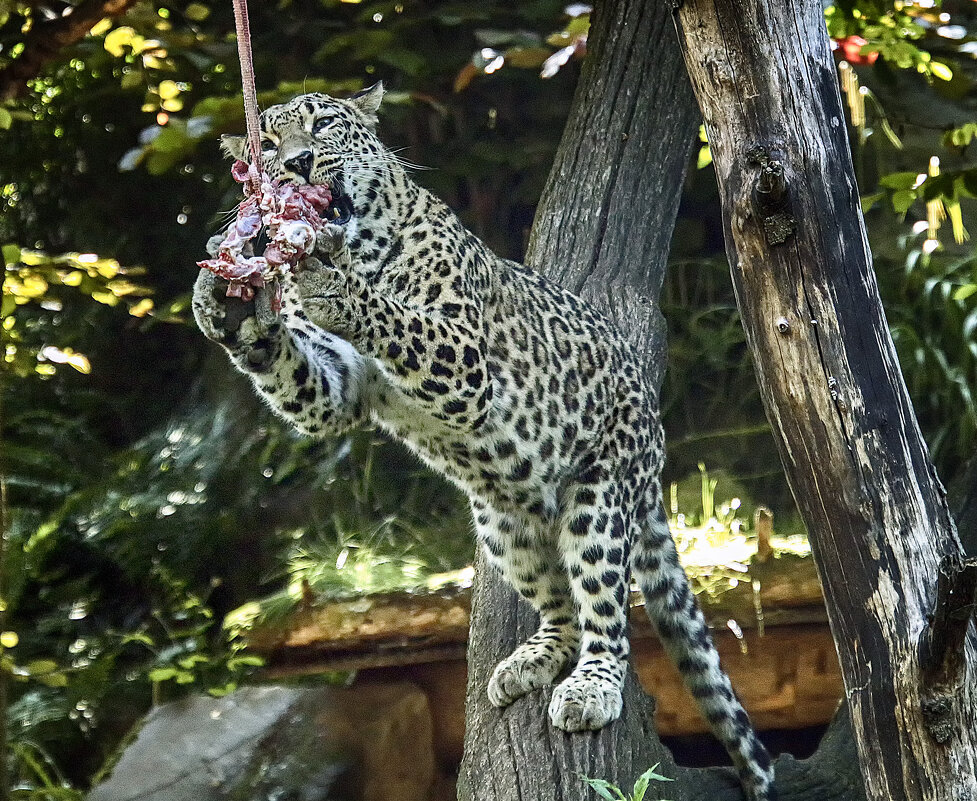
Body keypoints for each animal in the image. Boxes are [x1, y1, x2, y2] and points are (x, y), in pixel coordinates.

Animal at [191, 86, 776, 800]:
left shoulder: (464, 363)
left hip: (599, 496)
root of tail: (652, 436)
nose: (297, 163)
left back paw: (593, 686)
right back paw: (533, 660)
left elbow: (394, 317)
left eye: (323, 125)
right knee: (563, 608)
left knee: (606, 609)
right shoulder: (339, 384)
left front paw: (332, 284)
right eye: (267, 146)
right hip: (504, 524)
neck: (359, 248)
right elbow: (303, 377)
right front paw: (226, 303)